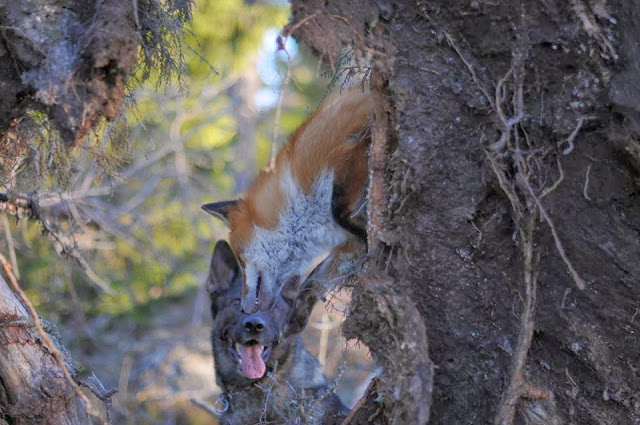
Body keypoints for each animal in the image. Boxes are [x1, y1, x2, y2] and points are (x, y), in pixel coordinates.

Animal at [205, 85, 372, 312]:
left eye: (240, 259)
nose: (243, 309)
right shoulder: (347, 244)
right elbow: (312, 283)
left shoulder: (349, 150)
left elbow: (339, 209)